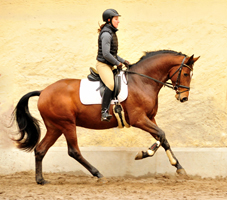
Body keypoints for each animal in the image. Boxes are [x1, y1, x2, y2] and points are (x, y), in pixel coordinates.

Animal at [13, 50, 200, 184]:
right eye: (185, 74)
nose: (184, 98)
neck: (142, 82)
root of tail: (43, 91)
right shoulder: (139, 119)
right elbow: (161, 135)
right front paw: (144, 153)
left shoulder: (150, 118)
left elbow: (163, 138)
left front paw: (179, 168)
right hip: (67, 125)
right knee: (73, 151)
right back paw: (98, 174)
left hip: (55, 127)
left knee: (40, 149)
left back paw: (41, 180)